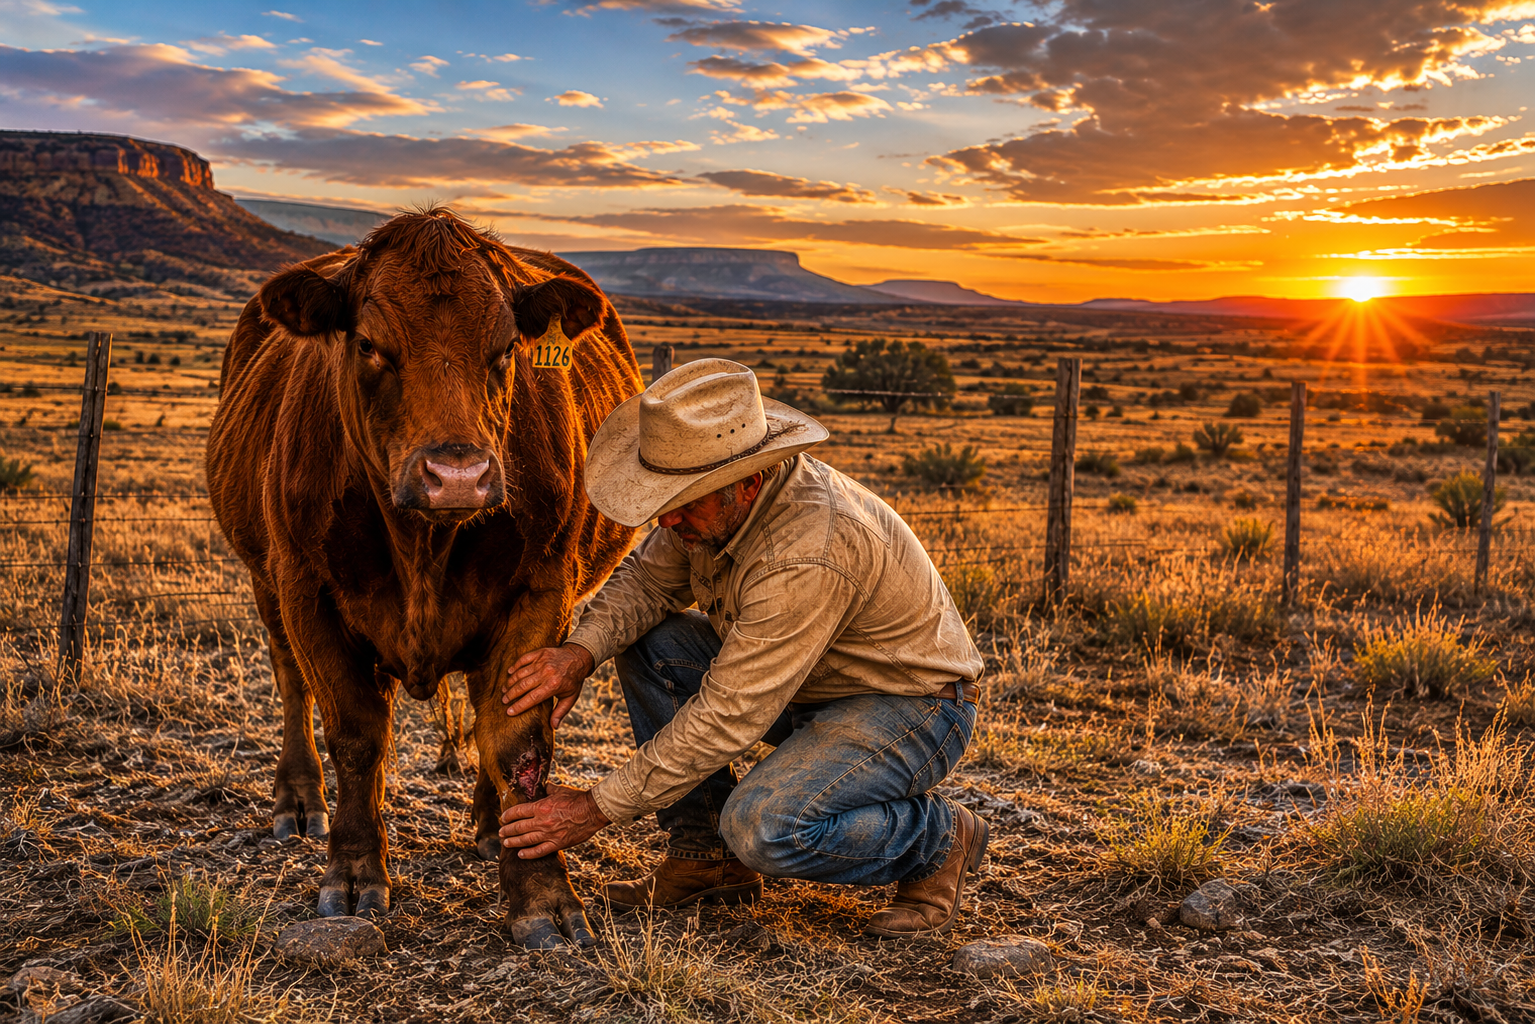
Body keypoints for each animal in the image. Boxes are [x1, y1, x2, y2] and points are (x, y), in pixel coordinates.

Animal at [206, 207, 640, 948]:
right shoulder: (306, 592)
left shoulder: (541, 593)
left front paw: (541, 895)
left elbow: (516, 741)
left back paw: (494, 827)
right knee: (291, 684)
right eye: (368, 344)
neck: (422, 545)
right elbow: (355, 735)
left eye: (506, 348)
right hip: (266, 582)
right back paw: (298, 800)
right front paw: (353, 875)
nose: (457, 475)